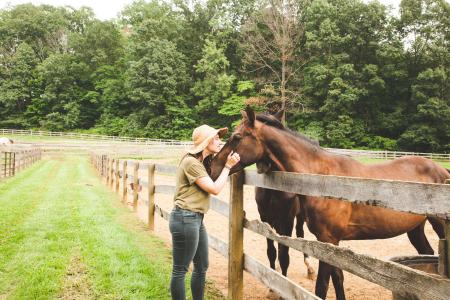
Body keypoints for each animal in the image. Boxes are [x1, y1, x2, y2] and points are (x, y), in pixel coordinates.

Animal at [208, 108, 446, 300]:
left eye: (237, 136)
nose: (213, 167)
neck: (321, 178)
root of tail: (441, 170)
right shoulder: (330, 243)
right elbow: (338, 278)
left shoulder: (327, 239)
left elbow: (322, 285)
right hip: (415, 229)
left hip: (440, 226)